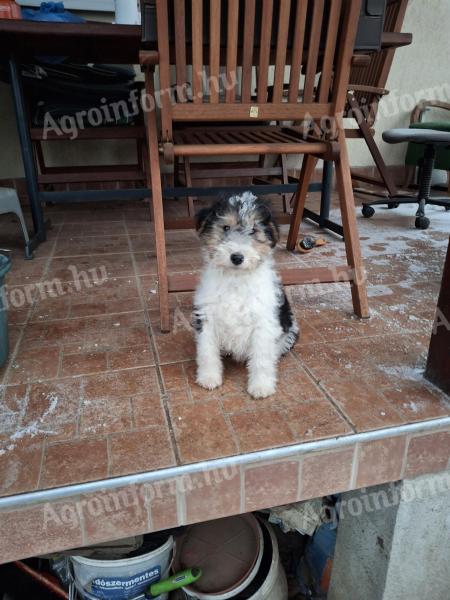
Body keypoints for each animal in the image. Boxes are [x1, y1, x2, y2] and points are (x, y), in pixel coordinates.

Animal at [192, 192, 298, 398]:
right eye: (225, 227)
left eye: (254, 230)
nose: (237, 257)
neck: (236, 280)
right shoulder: (207, 317)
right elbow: (207, 351)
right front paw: (209, 377)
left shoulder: (264, 323)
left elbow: (262, 359)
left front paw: (261, 386)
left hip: (290, 329)